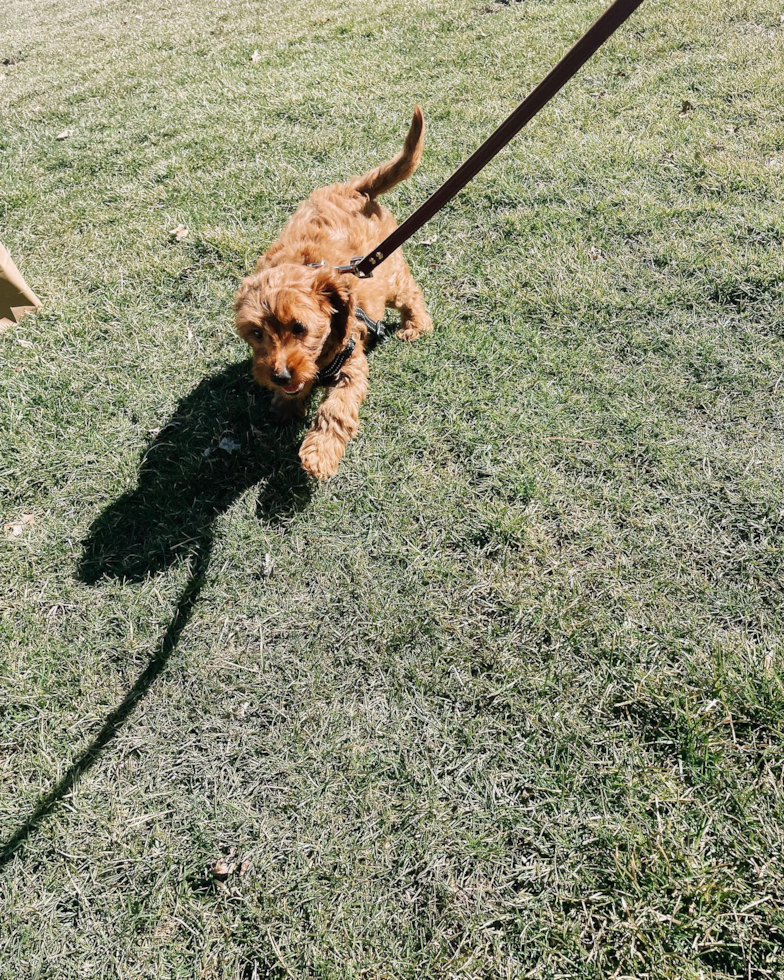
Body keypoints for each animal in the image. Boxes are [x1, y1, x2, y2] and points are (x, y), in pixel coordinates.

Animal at [233, 109, 432, 480]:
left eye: (300, 328)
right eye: (256, 333)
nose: (279, 376)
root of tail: (354, 189)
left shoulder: (352, 364)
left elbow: (335, 411)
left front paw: (319, 454)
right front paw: (286, 406)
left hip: (388, 270)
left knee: (410, 292)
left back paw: (416, 325)